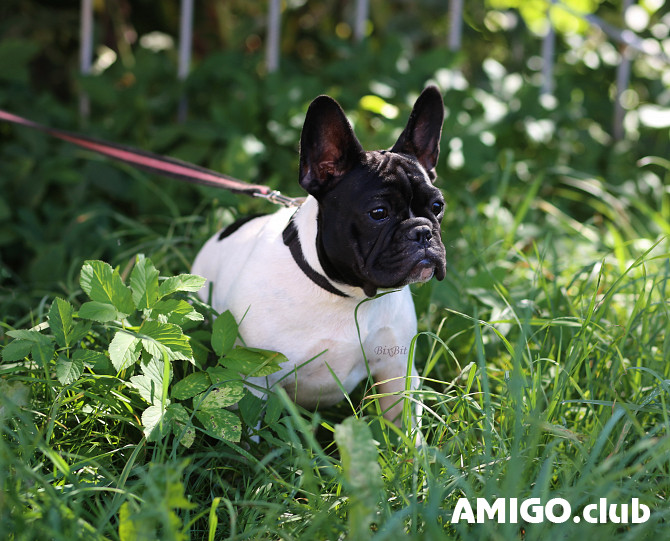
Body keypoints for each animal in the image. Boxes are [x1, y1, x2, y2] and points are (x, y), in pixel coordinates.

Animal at [193, 85, 446, 430]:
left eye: (437, 207)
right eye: (378, 213)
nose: (422, 231)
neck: (348, 296)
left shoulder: (397, 371)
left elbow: (404, 425)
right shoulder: (255, 382)